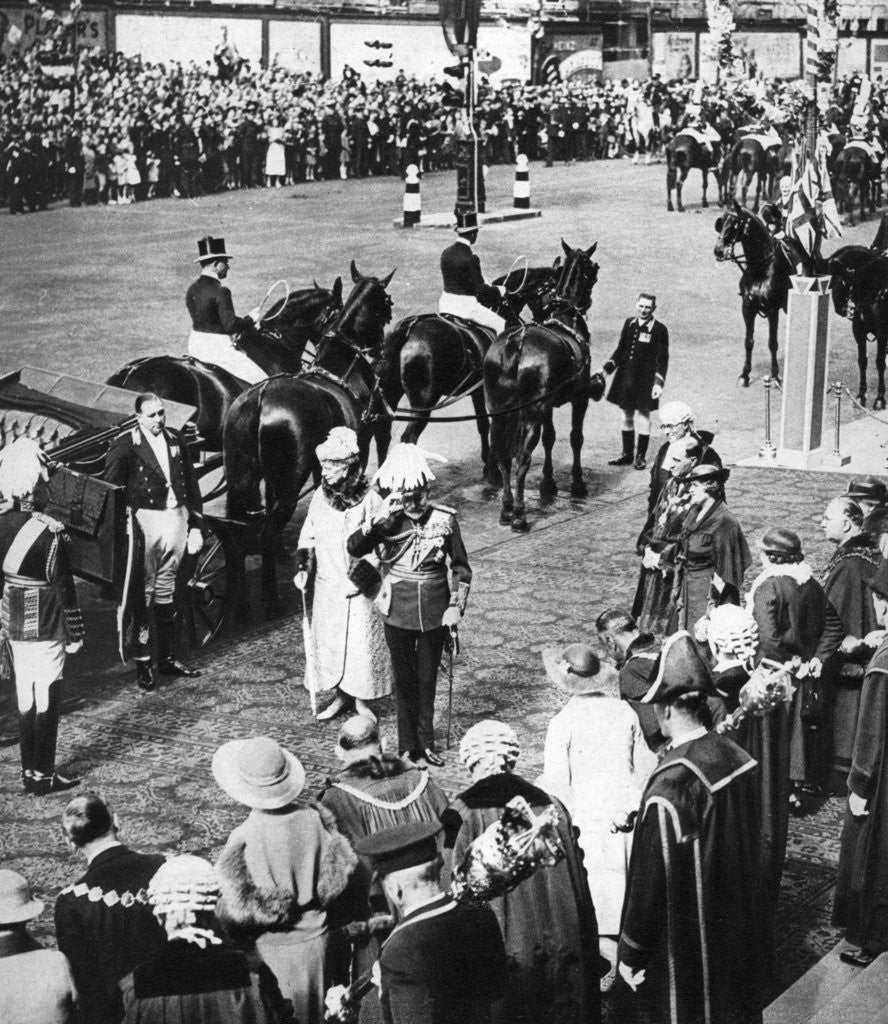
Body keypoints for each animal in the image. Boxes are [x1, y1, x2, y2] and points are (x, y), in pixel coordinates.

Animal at [222, 266, 393, 614]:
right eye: (387, 303)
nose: (381, 354)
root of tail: (259, 399)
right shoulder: (369, 436)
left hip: (244, 478)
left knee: (237, 535)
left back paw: (240, 604)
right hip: (288, 483)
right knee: (266, 532)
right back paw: (271, 600)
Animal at [378, 262, 557, 473]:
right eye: (553, 290)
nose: (548, 323)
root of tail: (408, 329)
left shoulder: (476, 391)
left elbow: (482, 424)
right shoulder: (484, 391)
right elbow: (487, 424)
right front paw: (491, 464)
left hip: (391, 394)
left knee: (383, 434)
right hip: (423, 403)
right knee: (408, 439)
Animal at [483, 236, 602, 532]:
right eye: (593, 270)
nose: (586, 303)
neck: (563, 317)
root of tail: (515, 343)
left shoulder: (547, 406)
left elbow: (550, 438)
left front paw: (549, 483)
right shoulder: (580, 398)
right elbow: (575, 437)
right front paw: (577, 483)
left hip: (499, 414)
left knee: (503, 457)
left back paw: (506, 507)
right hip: (529, 415)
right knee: (522, 459)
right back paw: (519, 513)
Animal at [712, 201, 811, 385]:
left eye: (735, 223)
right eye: (722, 222)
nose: (719, 251)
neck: (761, 267)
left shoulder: (772, 310)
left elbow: (772, 343)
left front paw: (775, 375)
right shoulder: (747, 308)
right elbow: (749, 341)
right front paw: (745, 374)